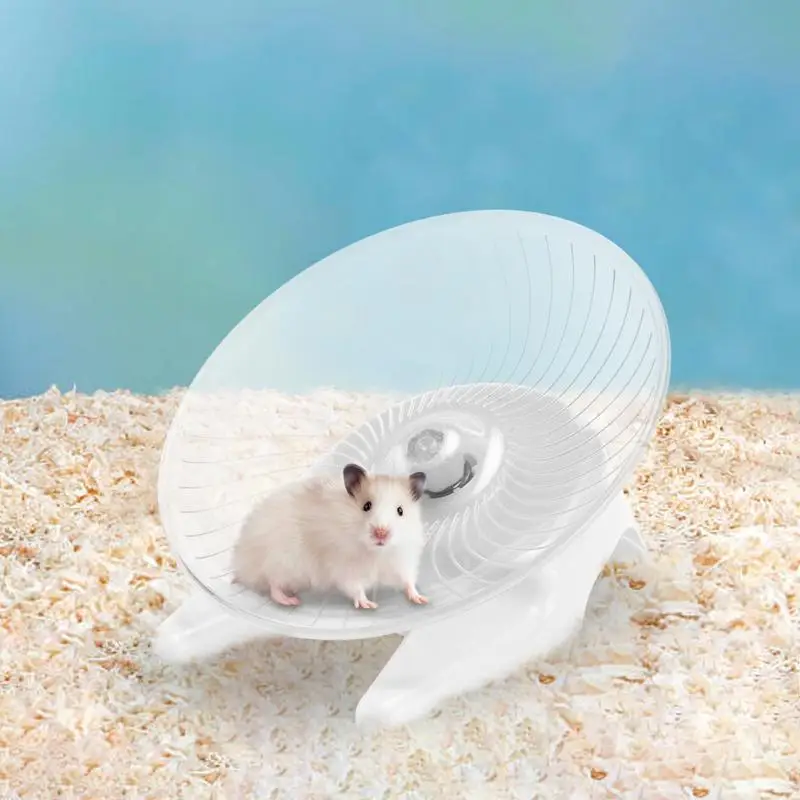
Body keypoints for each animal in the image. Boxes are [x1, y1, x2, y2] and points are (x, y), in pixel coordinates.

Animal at [232, 463, 429, 610]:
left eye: (400, 511)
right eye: (366, 506)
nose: (381, 533)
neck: (376, 552)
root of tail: (241, 565)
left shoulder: (403, 560)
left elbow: (408, 581)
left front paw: (422, 599)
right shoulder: (345, 567)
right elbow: (355, 588)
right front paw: (370, 605)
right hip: (282, 561)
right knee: (272, 584)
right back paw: (291, 601)